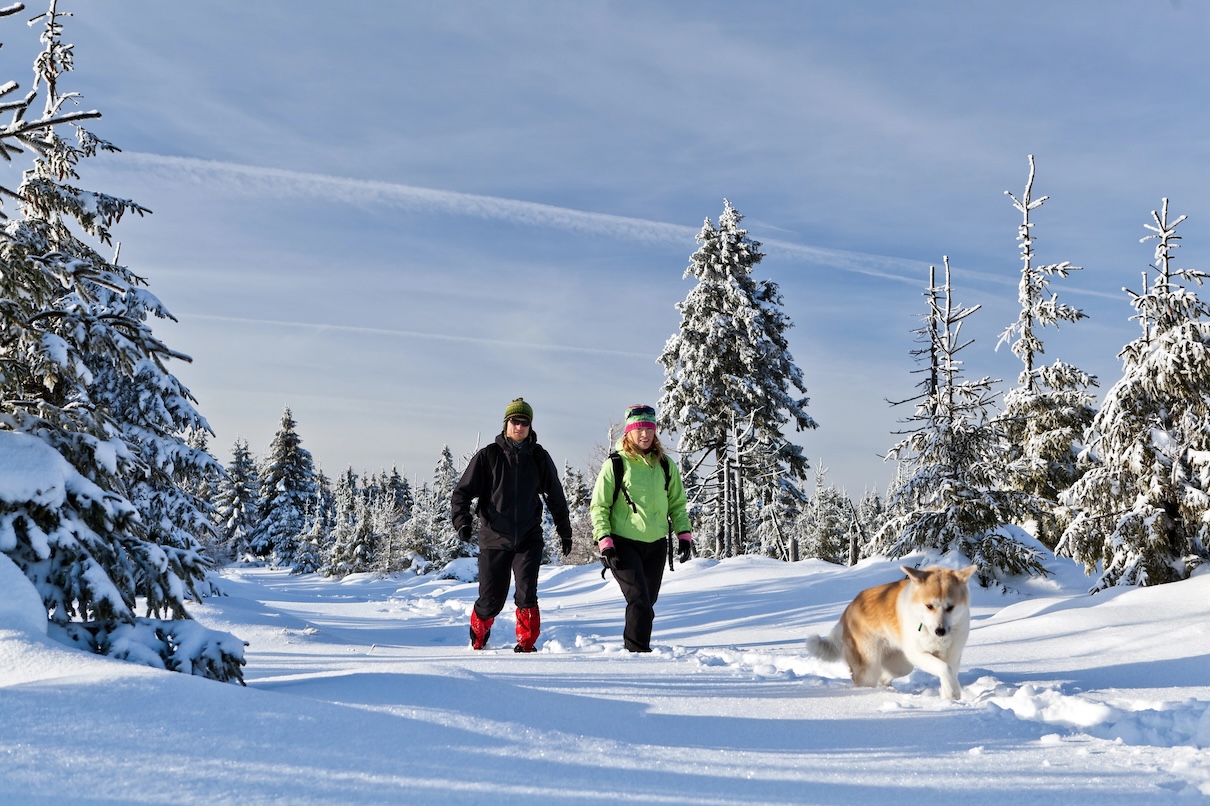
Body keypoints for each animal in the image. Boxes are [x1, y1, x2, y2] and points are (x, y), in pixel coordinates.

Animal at [808, 563, 977, 697]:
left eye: (950, 607)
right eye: (929, 606)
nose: (940, 631)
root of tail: (848, 609)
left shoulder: (953, 656)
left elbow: (949, 672)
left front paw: (949, 696)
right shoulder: (918, 654)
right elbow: (944, 668)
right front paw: (953, 693)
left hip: (901, 665)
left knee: (884, 677)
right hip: (870, 665)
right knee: (864, 680)